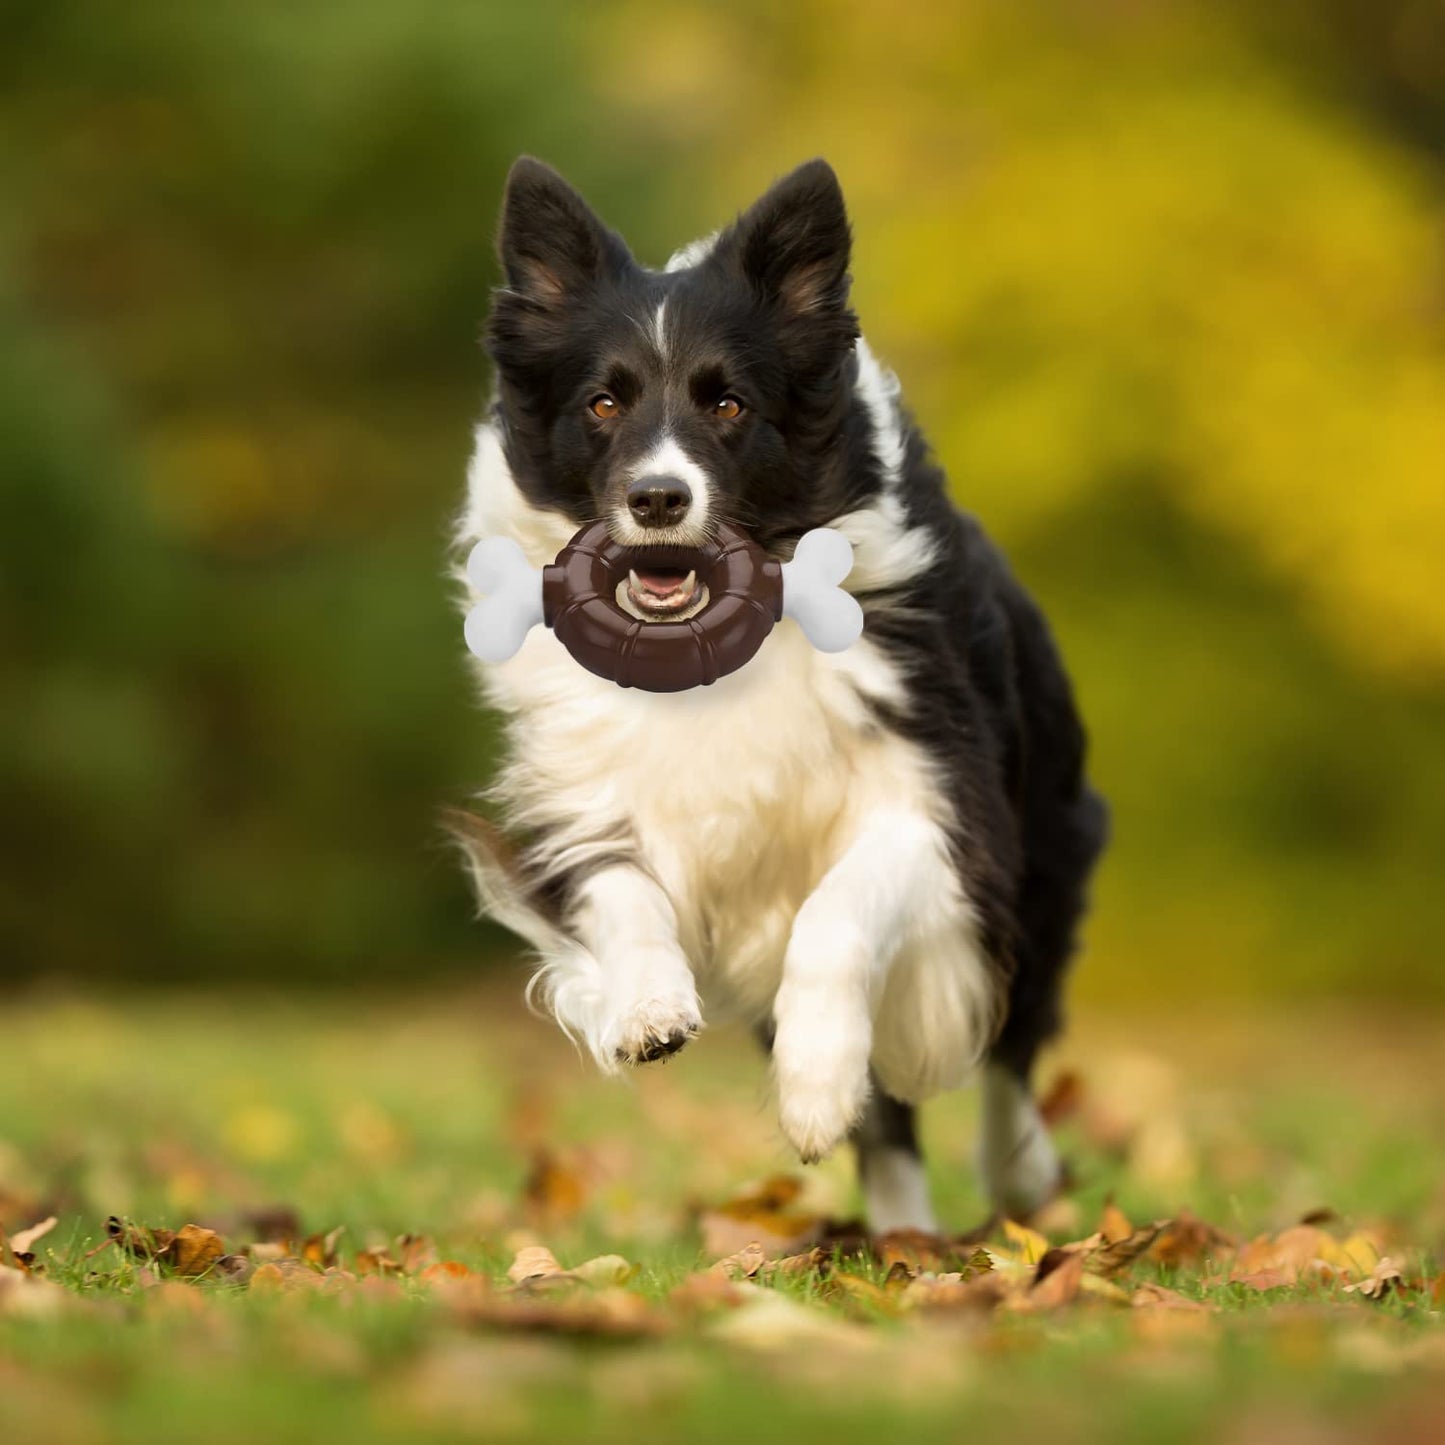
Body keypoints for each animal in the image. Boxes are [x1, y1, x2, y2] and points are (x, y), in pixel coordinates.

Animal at [456, 158, 1109, 1231]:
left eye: (728, 405)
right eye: (603, 403)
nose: (658, 499)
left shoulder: (941, 803)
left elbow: (836, 915)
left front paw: (812, 1086)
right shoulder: (589, 791)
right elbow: (619, 890)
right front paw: (647, 1007)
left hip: (1046, 841)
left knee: (1012, 1034)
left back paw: (1016, 1175)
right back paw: (903, 1236)